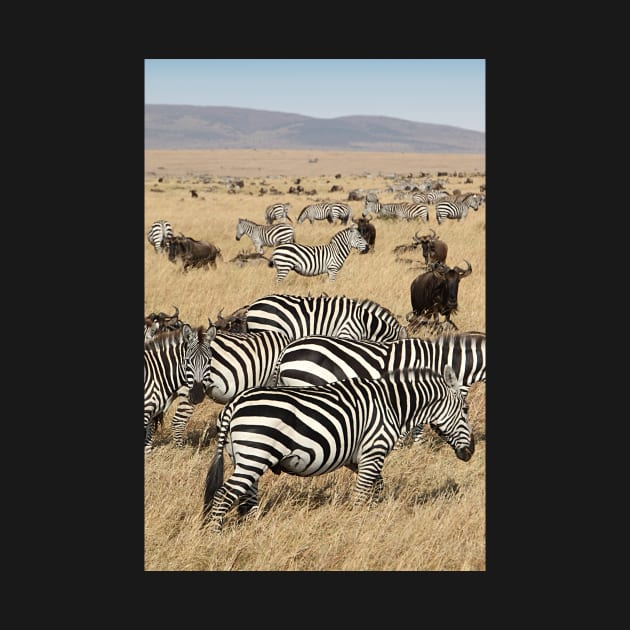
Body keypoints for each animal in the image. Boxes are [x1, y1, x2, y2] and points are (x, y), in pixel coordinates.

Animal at [202, 366, 474, 532]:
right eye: (466, 409)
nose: (470, 452)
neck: (393, 405)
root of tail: (234, 404)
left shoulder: (357, 458)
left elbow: (377, 486)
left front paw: (372, 514)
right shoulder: (373, 451)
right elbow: (362, 492)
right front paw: (357, 522)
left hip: (245, 457)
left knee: (247, 497)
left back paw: (256, 526)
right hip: (254, 456)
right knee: (224, 494)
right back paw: (216, 535)